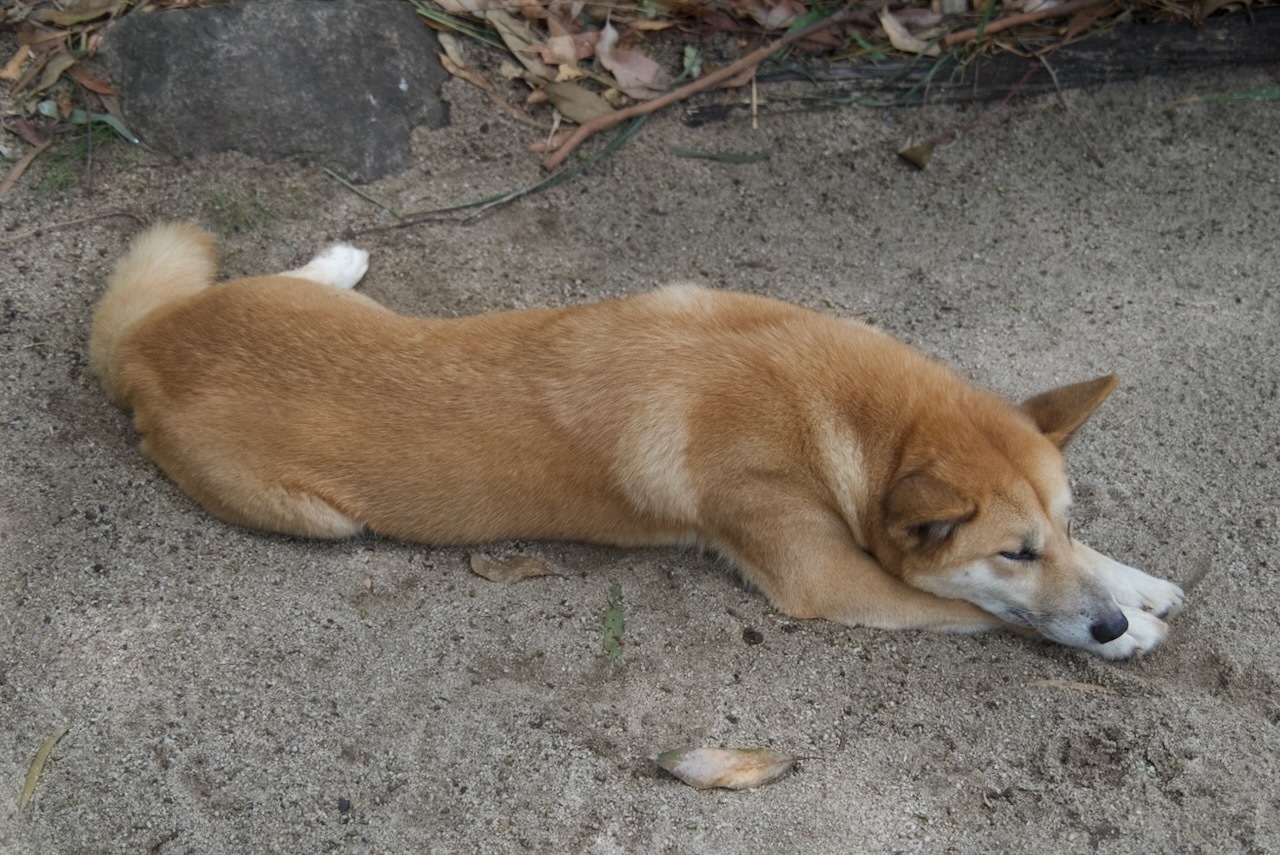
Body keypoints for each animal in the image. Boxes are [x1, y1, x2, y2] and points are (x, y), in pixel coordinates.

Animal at [92, 223, 1187, 660]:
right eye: (1011, 552)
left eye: (1059, 525)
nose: (1101, 628)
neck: (828, 403)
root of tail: (145, 347)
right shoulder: (825, 581)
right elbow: (977, 612)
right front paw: (1123, 634)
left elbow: (1100, 566)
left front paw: (1134, 586)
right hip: (322, 522)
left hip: (311, 308)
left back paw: (335, 260)